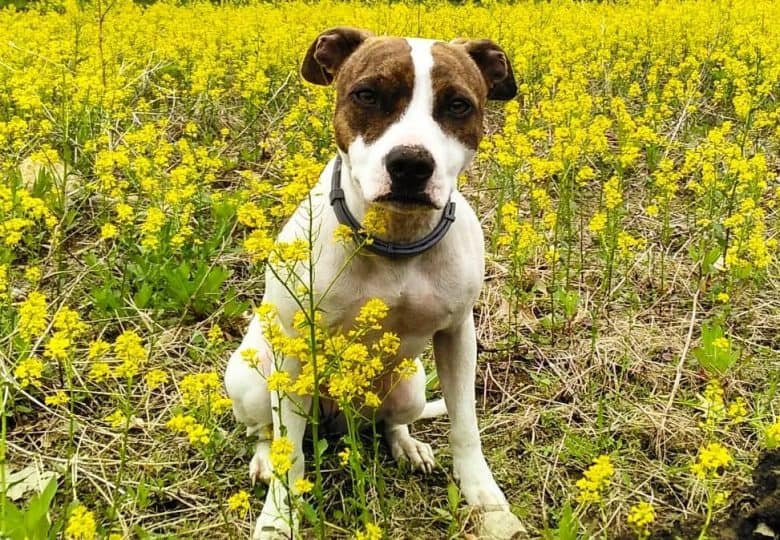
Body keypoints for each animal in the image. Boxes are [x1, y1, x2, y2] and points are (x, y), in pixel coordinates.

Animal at [225, 27, 524, 536]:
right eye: (366, 95)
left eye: (458, 105)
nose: (411, 164)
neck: (396, 243)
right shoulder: (295, 353)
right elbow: (290, 453)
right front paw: (277, 518)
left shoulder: (458, 334)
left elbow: (465, 426)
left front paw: (486, 502)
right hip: (251, 378)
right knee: (267, 430)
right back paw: (264, 459)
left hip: (409, 385)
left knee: (388, 422)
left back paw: (407, 445)